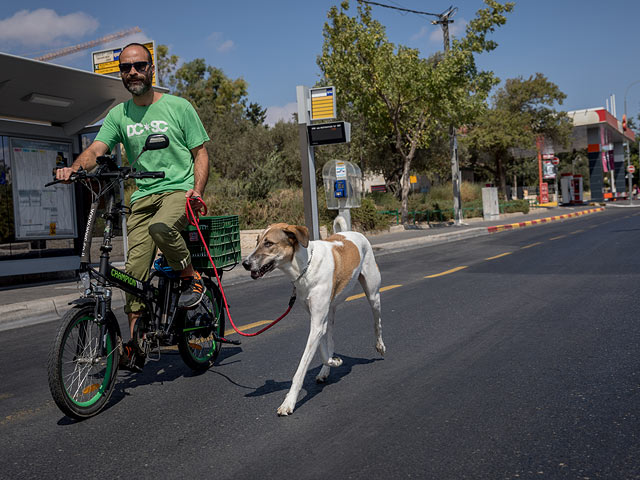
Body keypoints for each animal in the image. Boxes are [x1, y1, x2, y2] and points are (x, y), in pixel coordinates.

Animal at [242, 221, 384, 416]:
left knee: (377, 322)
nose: (245, 263)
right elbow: (323, 351)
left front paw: (289, 402)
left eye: (269, 243)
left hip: (373, 294)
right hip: (330, 312)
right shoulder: (317, 320)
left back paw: (380, 346)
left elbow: (301, 368)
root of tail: (349, 232)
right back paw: (326, 369)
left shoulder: (317, 323)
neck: (305, 267)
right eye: (257, 241)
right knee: (330, 339)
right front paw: (332, 362)